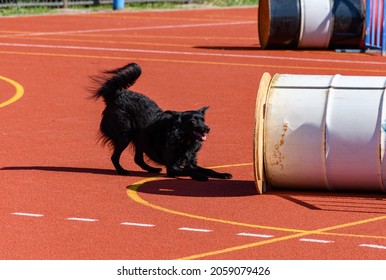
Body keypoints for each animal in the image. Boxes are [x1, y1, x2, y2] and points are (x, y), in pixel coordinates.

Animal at [91, 63, 232, 182]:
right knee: (115, 157)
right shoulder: (172, 167)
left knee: (138, 159)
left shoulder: (190, 162)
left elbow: (208, 170)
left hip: (141, 138)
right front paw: (200, 176)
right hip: (125, 136)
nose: (207, 128)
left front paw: (223, 174)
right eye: (193, 121)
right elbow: (188, 171)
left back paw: (151, 169)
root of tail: (115, 95)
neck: (183, 139)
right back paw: (122, 171)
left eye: (203, 120)